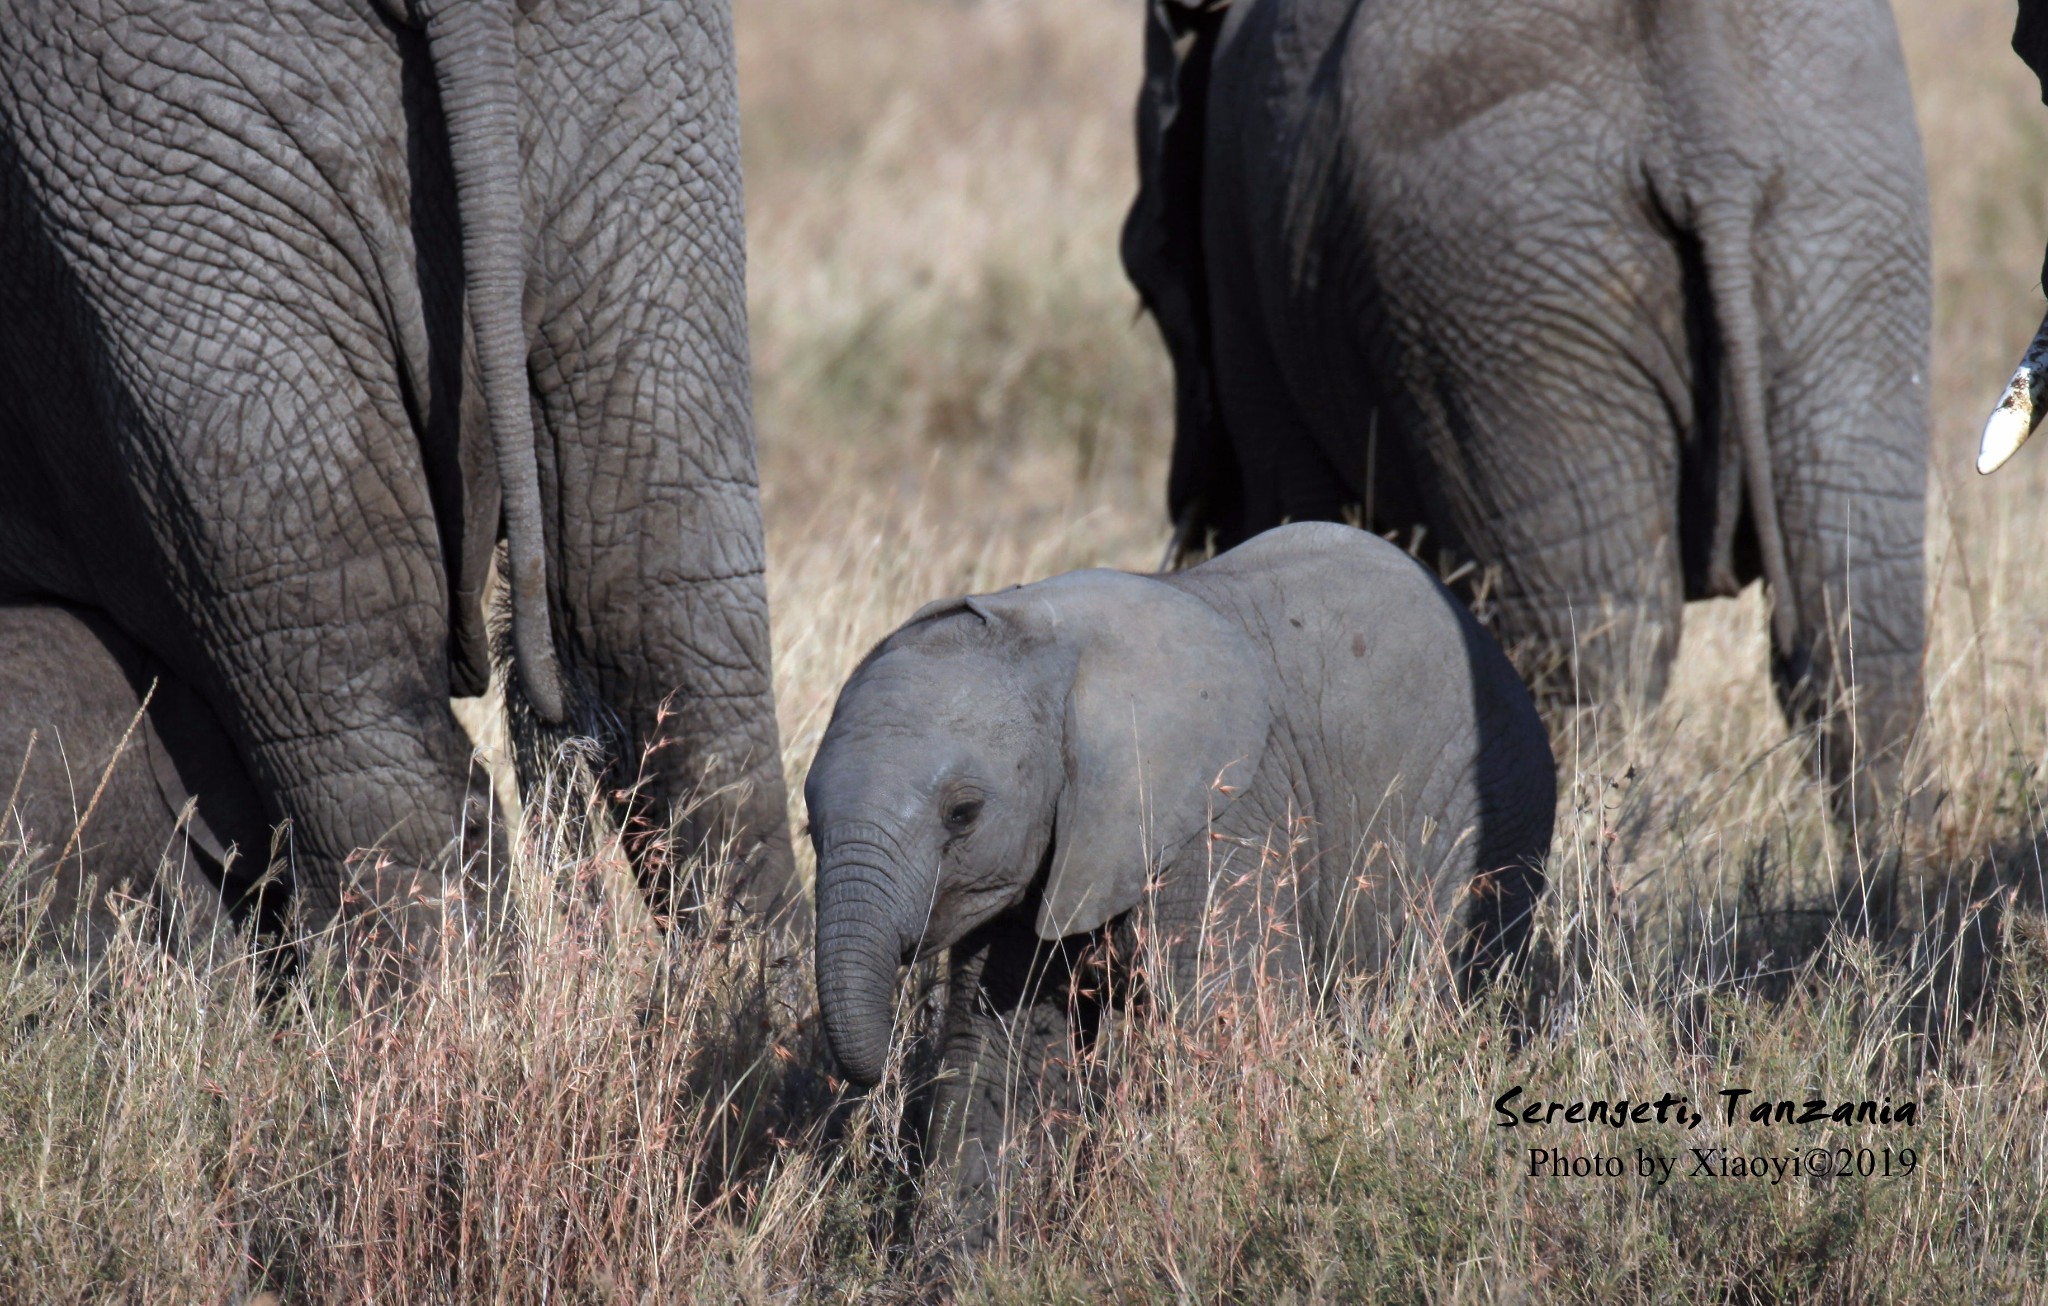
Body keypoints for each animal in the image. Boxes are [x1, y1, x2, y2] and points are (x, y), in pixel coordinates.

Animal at [802, 524, 1548, 1244]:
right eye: (811, 825)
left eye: (963, 813)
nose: (868, 1078)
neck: (1049, 646)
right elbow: (998, 1048)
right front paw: (959, 1263)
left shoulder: (1226, 821)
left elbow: (1228, 1027)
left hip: (1487, 821)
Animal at [1130, 0, 1925, 822]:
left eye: (1146, 284)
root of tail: (1713, 152)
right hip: (1840, 234)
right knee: (1859, 628)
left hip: (1496, 282)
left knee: (1590, 656)